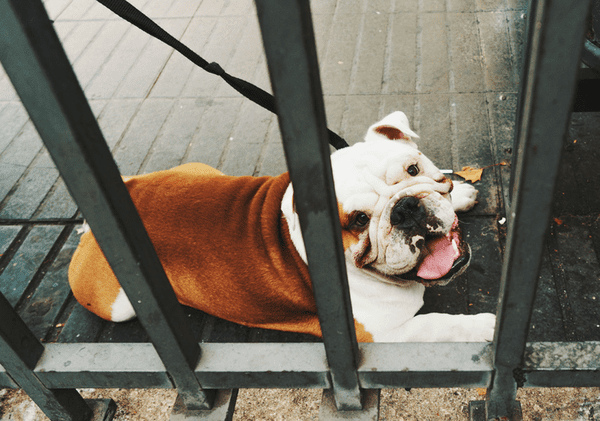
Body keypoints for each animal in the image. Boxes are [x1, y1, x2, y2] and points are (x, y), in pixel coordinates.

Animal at [68, 110, 494, 342]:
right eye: (358, 220)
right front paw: (485, 327)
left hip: (198, 169)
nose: (404, 208)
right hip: (116, 305)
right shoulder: (384, 335)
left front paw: (459, 193)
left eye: (412, 169)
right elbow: (439, 325)